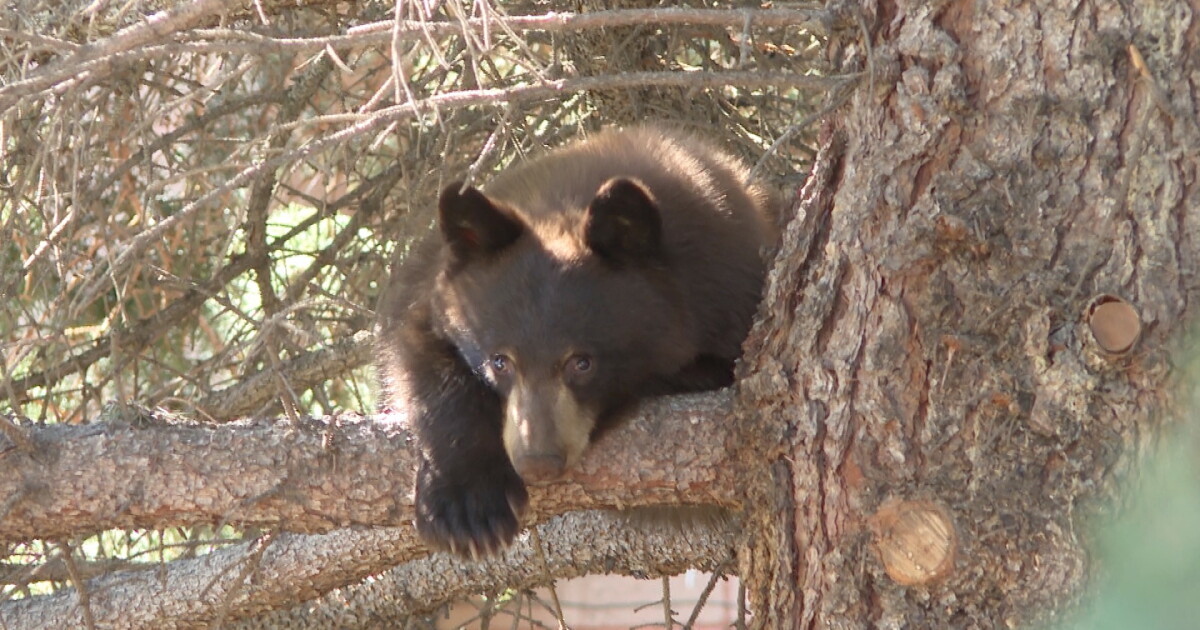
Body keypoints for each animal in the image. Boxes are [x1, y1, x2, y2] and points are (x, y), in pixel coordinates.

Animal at [375, 126, 777, 558]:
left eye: (582, 362)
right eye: (500, 361)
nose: (538, 462)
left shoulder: (728, 289)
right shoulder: (433, 288)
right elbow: (418, 353)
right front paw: (467, 506)